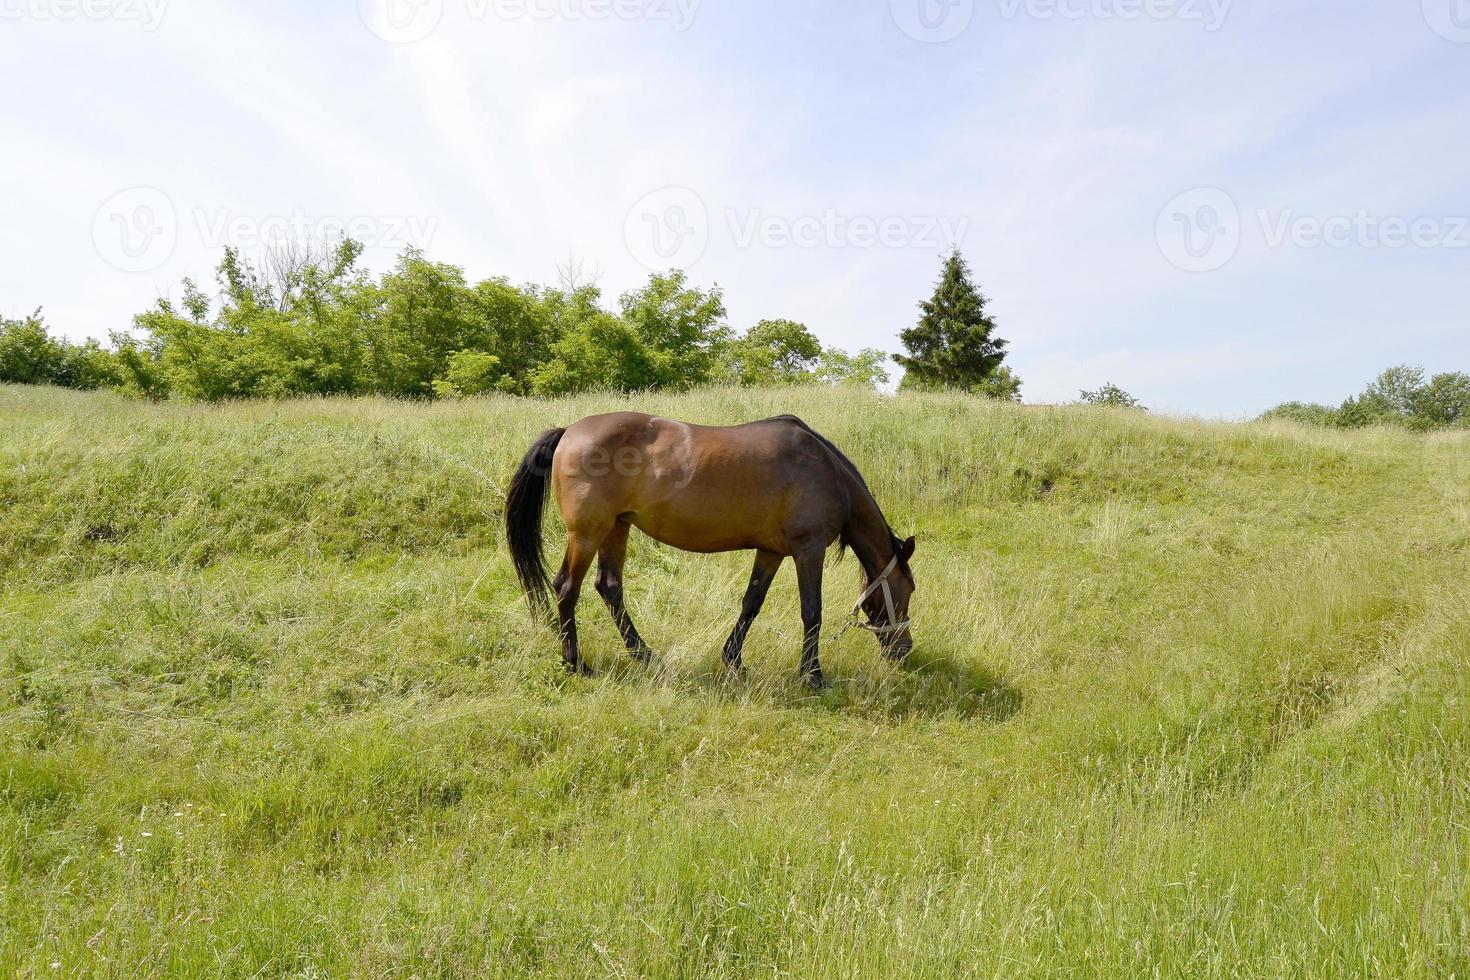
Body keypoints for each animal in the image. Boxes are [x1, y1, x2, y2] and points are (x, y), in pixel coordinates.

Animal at [511, 414, 911, 690]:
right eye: (908, 589)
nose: (904, 650)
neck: (828, 474)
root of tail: (569, 432)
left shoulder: (770, 552)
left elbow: (751, 603)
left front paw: (733, 660)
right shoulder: (808, 550)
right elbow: (812, 611)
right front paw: (812, 675)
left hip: (617, 527)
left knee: (609, 587)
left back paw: (644, 655)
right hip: (588, 533)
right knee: (567, 588)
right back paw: (575, 662)